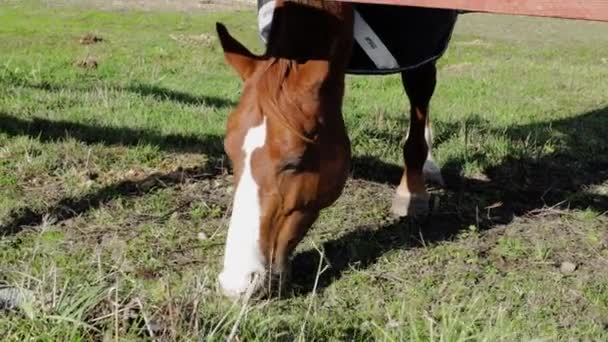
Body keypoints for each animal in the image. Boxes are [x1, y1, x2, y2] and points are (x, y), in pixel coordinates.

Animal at [216, 0, 444, 296]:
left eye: (295, 161)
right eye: (229, 152)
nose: (237, 282)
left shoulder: (421, 46)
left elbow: (419, 94)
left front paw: (413, 192)